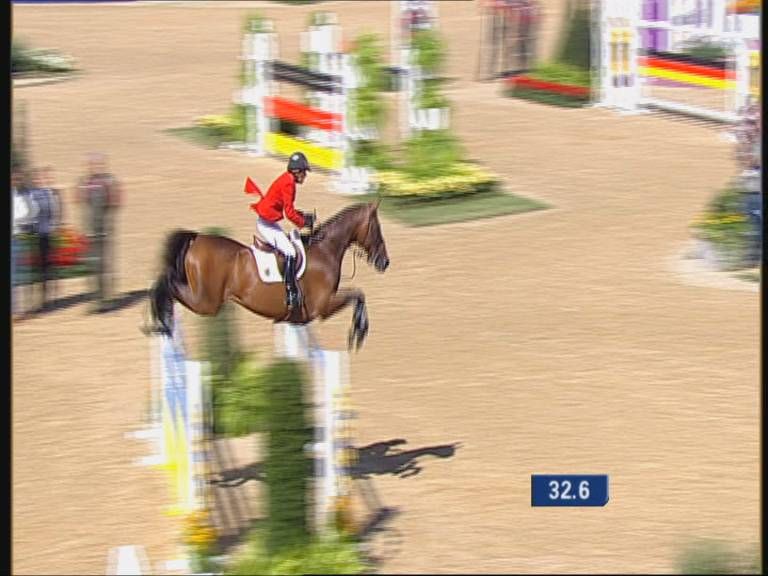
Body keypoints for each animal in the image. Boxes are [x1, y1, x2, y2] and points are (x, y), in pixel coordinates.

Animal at [148, 201, 389, 350]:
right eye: (377, 229)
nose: (384, 262)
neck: (326, 250)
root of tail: (197, 239)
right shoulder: (324, 306)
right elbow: (358, 295)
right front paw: (359, 333)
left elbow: (358, 295)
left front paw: (358, 331)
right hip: (206, 302)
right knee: (167, 284)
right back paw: (161, 321)